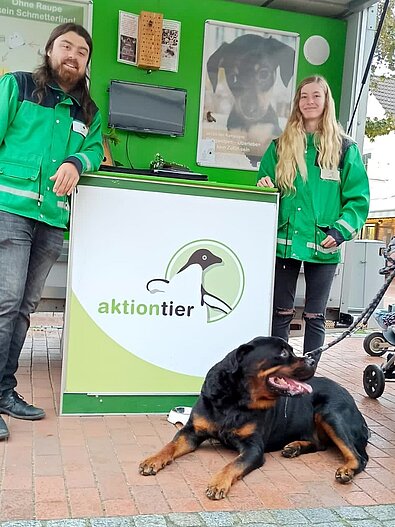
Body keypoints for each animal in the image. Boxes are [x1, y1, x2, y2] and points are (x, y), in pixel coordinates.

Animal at [138, 336, 368, 502]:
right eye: (283, 352)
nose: (312, 360)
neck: (235, 400)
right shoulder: (191, 431)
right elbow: (170, 445)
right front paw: (152, 460)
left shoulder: (253, 447)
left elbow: (233, 464)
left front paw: (217, 483)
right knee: (320, 444)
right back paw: (294, 447)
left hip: (330, 414)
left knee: (359, 457)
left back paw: (346, 470)